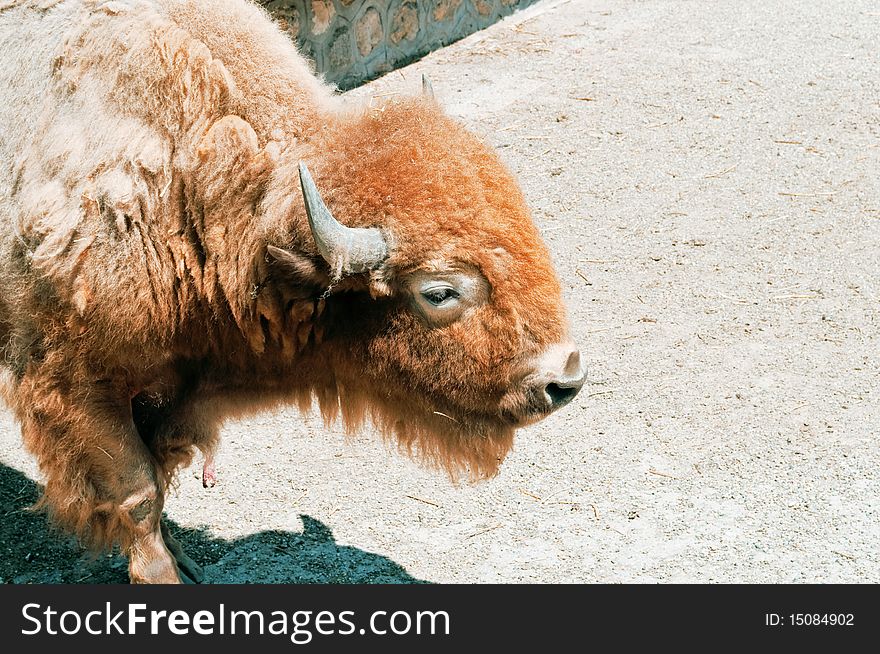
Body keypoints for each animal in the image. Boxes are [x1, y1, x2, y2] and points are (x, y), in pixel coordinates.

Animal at [0, 0, 584, 584]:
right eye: (439, 293)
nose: (565, 380)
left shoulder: (173, 385)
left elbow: (160, 473)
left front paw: (186, 560)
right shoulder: (78, 382)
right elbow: (137, 491)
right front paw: (162, 574)